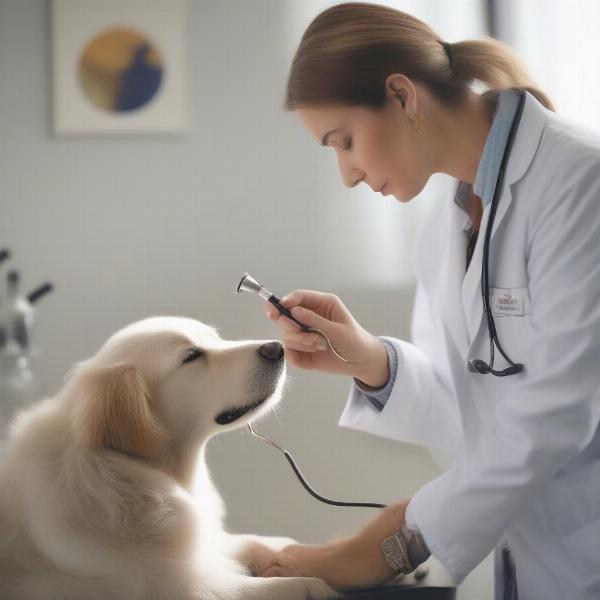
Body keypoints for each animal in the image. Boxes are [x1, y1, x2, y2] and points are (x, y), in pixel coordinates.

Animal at [0, 316, 338, 596]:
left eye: (217, 338)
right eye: (191, 356)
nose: (277, 348)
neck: (127, 469)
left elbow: (252, 541)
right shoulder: (179, 585)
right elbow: (296, 586)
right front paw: (316, 584)